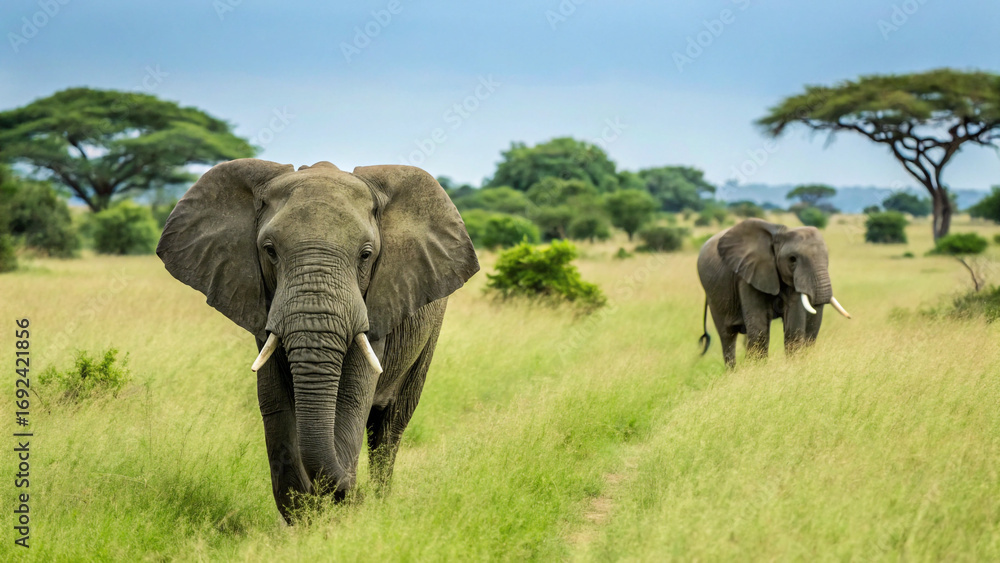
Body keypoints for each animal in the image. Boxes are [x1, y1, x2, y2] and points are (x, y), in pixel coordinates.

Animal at [156, 158, 479, 521]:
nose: (356, 495)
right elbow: (276, 403)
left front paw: (337, 517)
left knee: (390, 428)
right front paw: (306, 519)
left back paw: (381, 501)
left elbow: (352, 398)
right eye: (269, 251)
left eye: (366, 255)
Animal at [697, 218, 851, 367]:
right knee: (727, 336)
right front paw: (757, 370)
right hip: (713, 294)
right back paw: (732, 372)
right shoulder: (748, 275)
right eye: (792, 259)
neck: (779, 234)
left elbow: (793, 328)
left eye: (827, 257)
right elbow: (759, 330)